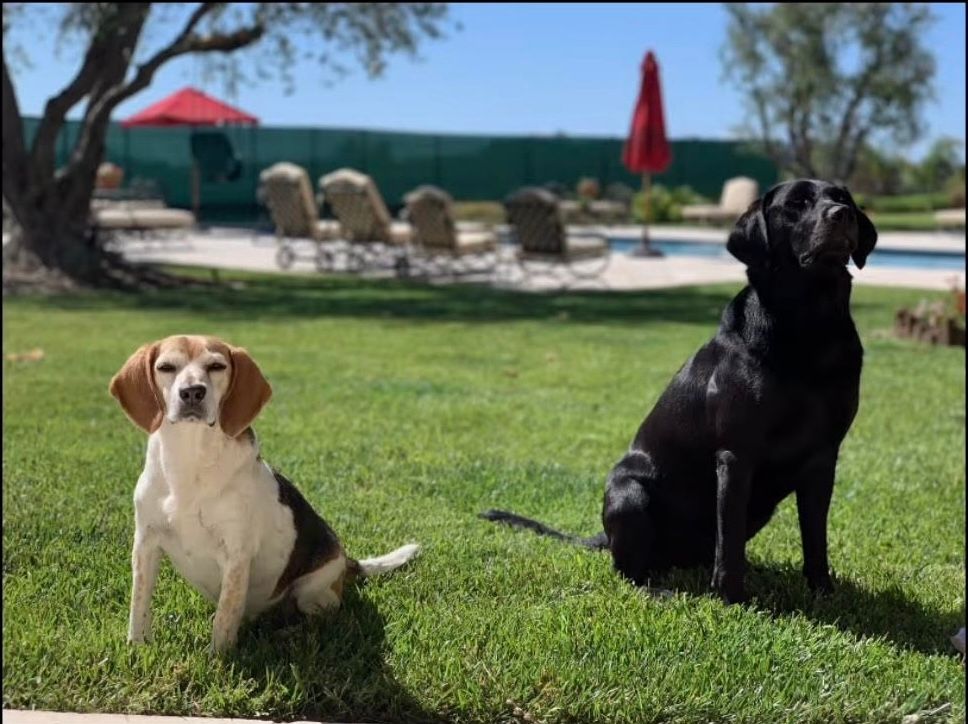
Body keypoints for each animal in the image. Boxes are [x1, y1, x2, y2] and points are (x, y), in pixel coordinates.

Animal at [110, 336, 420, 652]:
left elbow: (225, 616)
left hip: (313, 592)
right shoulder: (145, 544)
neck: (191, 458)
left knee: (316, 620)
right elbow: (139, 603)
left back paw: (286, 634)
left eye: (216, 366)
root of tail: (346, 562)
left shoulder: (236, 554)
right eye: (166, 367)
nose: (192, 392)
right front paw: (137, 646)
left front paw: (218, 658)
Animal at [484, 178, 876, 604]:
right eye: (796, 203)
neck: (810, 326)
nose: (842, 215)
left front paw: (823, 591)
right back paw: (665, 591)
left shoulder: (823, 457)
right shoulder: (736, 454)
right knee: (631, 571)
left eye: (842, 198)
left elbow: (815, 537)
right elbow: (729, 538)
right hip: (629, 494)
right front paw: (732, 600)